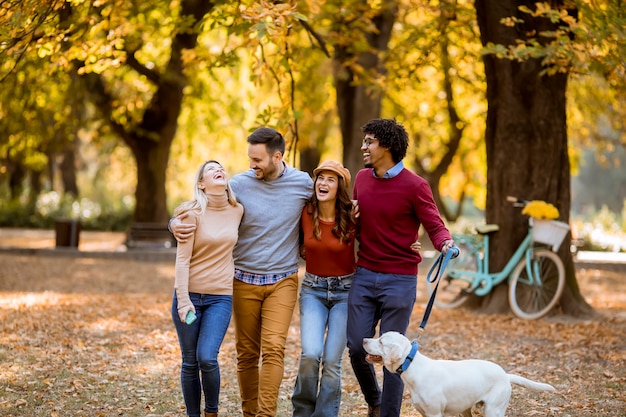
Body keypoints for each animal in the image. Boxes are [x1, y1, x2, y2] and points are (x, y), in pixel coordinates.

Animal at [360, 332, 556, 416]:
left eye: (381, 341)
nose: (364, 339)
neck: (413, 365)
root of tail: (505, 375)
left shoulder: (435, 414)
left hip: (493, 410)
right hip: (466, 410)